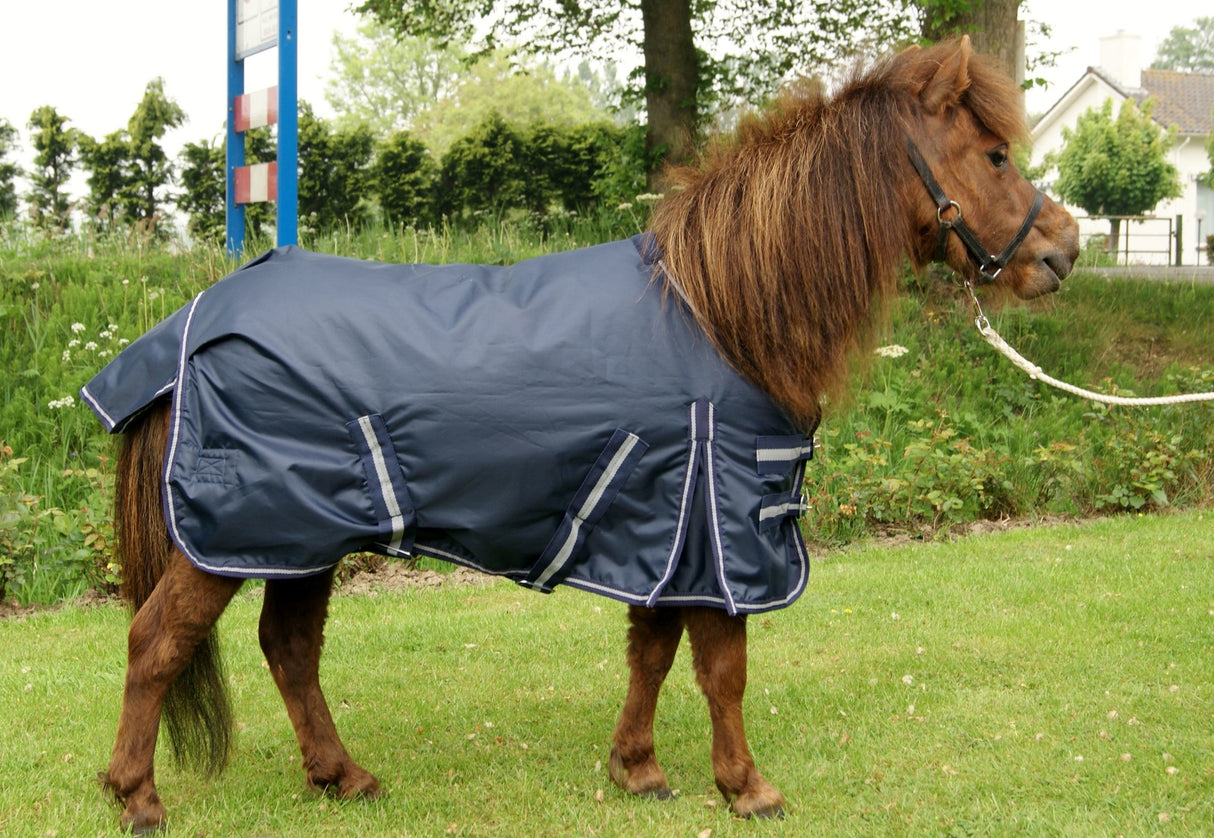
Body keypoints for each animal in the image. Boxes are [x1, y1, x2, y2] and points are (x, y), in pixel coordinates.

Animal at [88, 37, 1078, 832]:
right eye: (994, 153)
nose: (1063, 251)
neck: (723, 310)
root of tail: (194, 323)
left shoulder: (667, 528)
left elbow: (654, 653)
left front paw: (638, 769)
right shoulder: (721, 527)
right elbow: (722, 666)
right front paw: (747, 787)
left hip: (301, 539)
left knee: (289, 651)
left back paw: (344, 776)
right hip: (239, 534)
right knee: (156, 643)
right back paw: (138, 797)